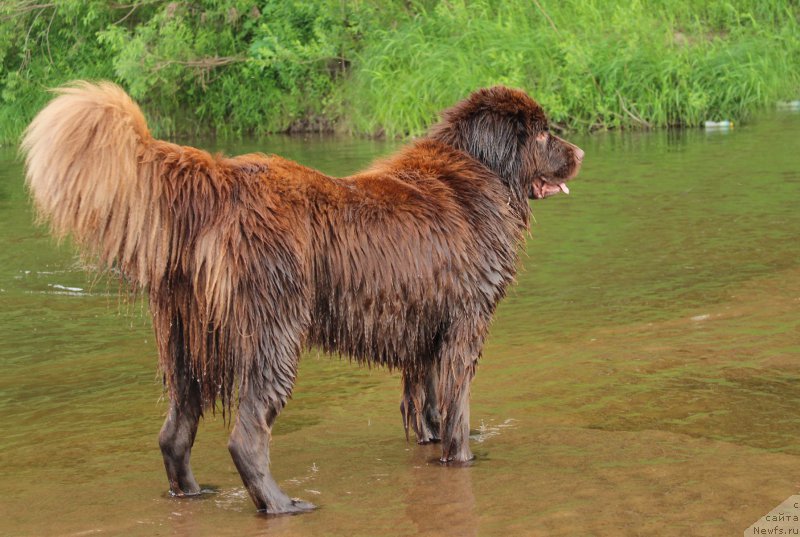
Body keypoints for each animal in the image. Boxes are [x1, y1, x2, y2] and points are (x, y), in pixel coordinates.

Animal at [20, 81, 580, 512]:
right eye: (542, 132)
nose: (579, 153)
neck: (481, 170)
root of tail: (225, 180)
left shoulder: (424, 327)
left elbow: (428, 400)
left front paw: (431, 437)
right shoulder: (466, 321)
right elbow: (456, 403)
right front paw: (463, 457)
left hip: (188, 340)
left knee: (174, 431)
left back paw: (195, 493)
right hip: (274, 330)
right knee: (247, 437)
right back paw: (282, 504)